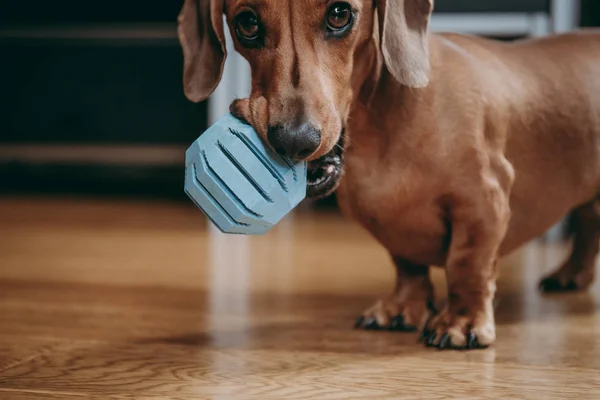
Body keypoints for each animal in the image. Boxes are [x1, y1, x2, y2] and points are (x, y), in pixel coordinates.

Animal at [178, 0, 600, 348]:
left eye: (340, 14)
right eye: (247, 22)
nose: (294, 141)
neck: (382, 127)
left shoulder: (484, 203)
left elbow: (468, 265)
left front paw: (462, 322)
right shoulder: (390, 225)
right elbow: (407, 265)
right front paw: (403, 308)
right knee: (588, 225)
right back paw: (570, 275)